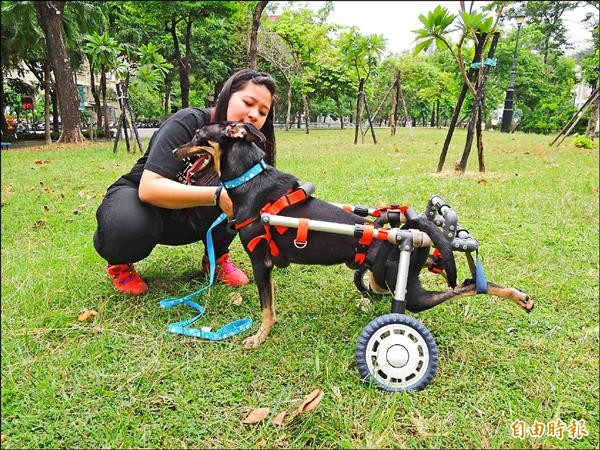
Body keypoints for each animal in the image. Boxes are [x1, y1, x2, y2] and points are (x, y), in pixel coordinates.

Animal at [173, 122, 536, 348]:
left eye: (198, 134)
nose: (175, 150)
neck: (248, 180)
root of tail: (412, 234)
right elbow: (270, 304)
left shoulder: (261, 262)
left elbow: (266, 309)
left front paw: (258, 338)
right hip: (389, 279)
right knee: (466, 282)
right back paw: (518, 295)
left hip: (405, 291)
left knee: (468, 285)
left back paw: (515, 296)